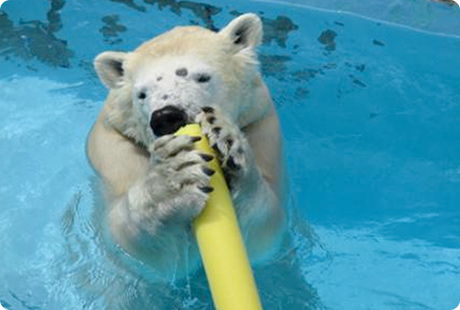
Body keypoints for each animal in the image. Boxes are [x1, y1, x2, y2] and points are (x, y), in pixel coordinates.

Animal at [87, 13, 284, 278]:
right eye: (142, 94)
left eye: (202, 77)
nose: (166, 116)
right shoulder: (114, 150)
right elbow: (133, 244)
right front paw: (173, 178)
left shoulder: (262, 127)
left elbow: (265, 227)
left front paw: (225, 138)